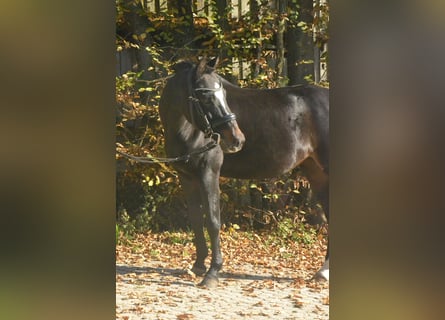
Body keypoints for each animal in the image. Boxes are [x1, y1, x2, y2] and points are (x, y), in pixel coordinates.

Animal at [158, 57, 328, 288]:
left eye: (223, 93)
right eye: (205, 96)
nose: (237, 139)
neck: (188, 129)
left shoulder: (208, 173)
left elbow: (213, 221)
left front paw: (212, 273)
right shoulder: (187, 177)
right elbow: (196, 220)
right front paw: (198, 265)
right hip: (315, 170)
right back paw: (322, 272)